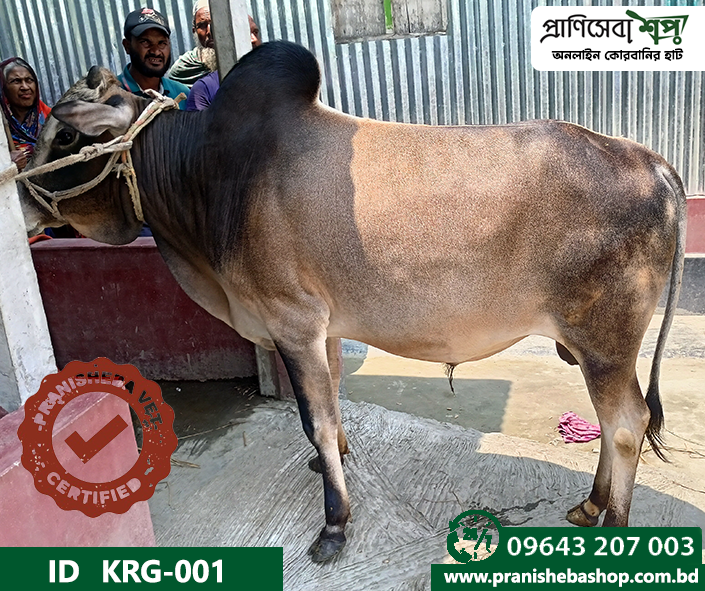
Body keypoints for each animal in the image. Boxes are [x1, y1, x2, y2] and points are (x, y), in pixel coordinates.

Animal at [18, 41, 685, 562]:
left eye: (67, 135)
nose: (17, 199)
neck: (210, 175)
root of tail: (651, 161)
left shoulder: (292, 323)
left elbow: (313, 418)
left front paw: (335, 523)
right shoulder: (326, 328)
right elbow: (333, 403)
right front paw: (331, 460)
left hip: (604, 342)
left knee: (627, 425)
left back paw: (614, 527)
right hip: (598, 348)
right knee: (614, 424)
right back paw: (590, 505)